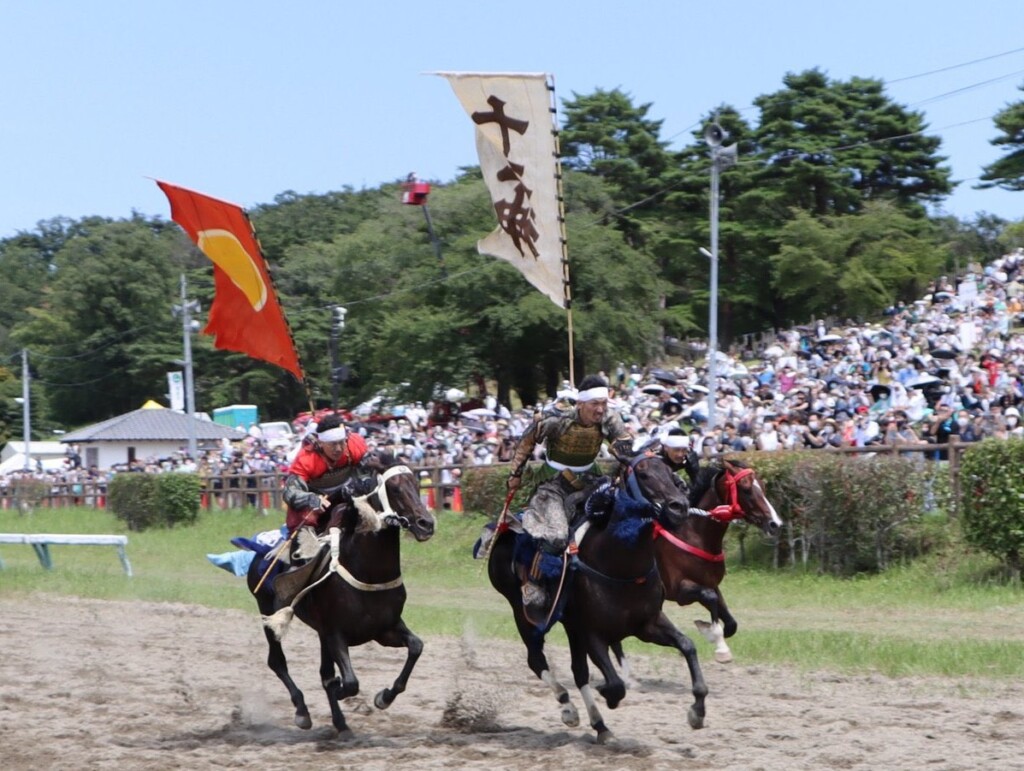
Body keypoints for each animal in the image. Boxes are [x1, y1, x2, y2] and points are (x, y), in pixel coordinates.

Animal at [249, 450, 438, 733]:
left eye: (417, 485)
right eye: (394, 488)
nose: (426, 524)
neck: (368, 572)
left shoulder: (384, 629)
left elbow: (416, 646)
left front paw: (384, 697)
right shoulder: (335, 633)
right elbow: (347, 682)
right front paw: (342, 693)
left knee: (322, 672)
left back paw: (340, 723)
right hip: (268, 611)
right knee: (278, 661)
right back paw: (302, 711)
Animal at [491, 448, 708, 741]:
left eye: (672, 474)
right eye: (643, 475)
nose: (680, 507)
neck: (621, 565)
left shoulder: (647, 624)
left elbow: (687, 645)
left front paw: (697, 711)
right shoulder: (592, 632)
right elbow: (615, 684)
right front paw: (607, 693)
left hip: (570, 626)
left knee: (578, 672)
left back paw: (600, 725)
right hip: (523, 613)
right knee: (537, 660)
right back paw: (568, 708)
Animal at [651, 456, 778, 663]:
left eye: (763, 486)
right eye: (746, 489)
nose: (775, 524)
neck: (693, 534)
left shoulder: (711, 584)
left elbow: (730, 622)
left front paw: (707, 630)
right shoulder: (679, 590)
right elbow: (710, 598)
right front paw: (718, 644)